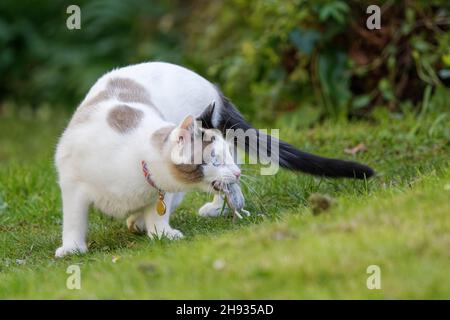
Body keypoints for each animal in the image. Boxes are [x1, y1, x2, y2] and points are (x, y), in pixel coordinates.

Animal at [54, 62, 374, 258]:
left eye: (227, 157)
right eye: (215, 160)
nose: (236, 171)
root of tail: (211, 86)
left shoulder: (164, 191)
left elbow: (159, 212)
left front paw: (162, 234)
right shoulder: (72, 184)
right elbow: (74, 219)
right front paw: (72, 248)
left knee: (227, 195)